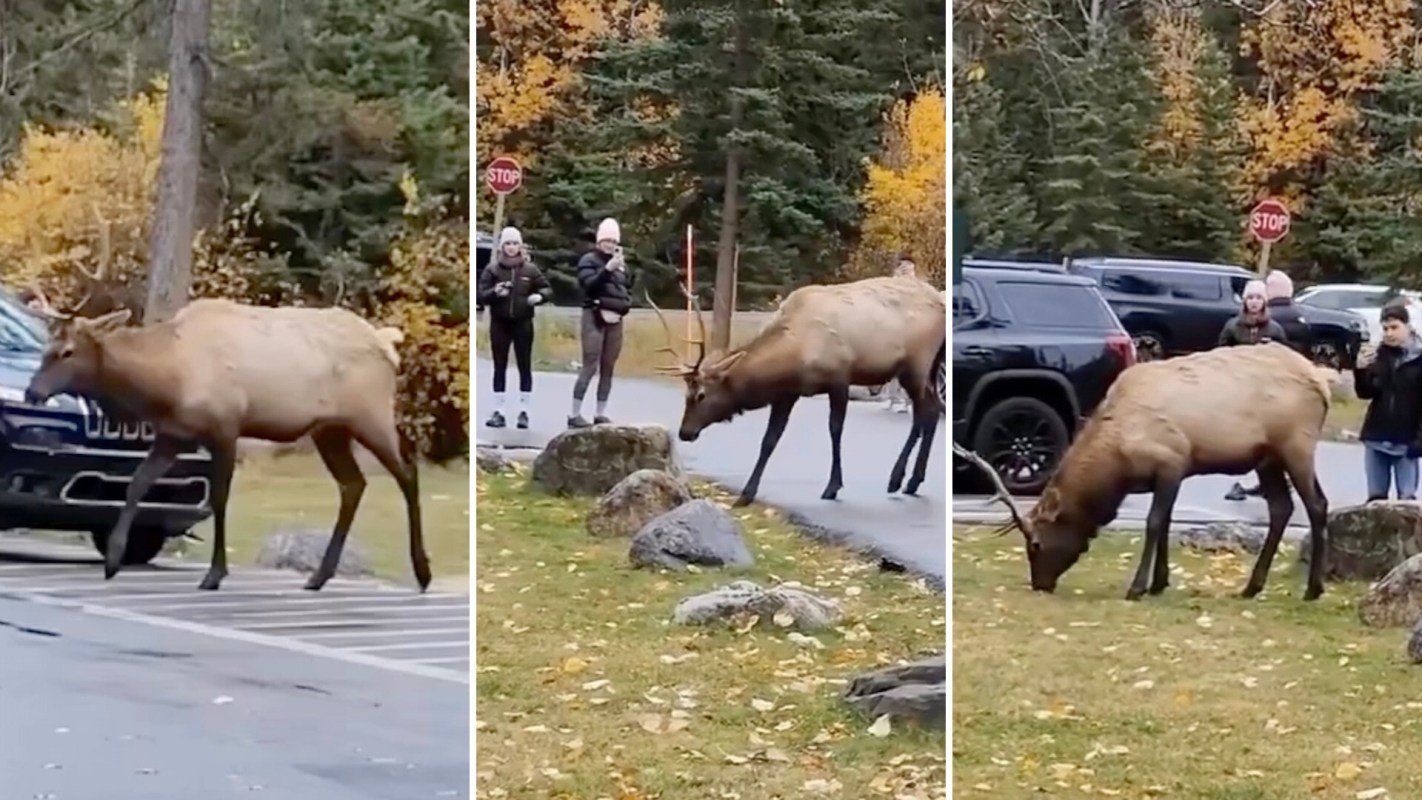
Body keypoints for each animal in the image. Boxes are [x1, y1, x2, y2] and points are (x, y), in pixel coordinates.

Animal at [23, 295, 426, 593]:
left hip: (371, 414)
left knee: (407, 474)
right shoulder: (174, 433)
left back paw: (422, 572)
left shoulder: (226, 428)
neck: (168, 380)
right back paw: (318, 576)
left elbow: (219, 498)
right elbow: (137, 483)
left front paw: (215, 574)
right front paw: (113, 560)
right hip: (330, 430)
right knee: (353, 484)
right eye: (45, 347)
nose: (32, 393)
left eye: (68, 351)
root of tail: (388, 345)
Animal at [651, 277, 944, 505]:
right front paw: (746, 494)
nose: (685, 432)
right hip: (923, 370)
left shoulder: (840, 377)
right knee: (930, 411)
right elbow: (770, 439)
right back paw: (911, 481)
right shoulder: (787, 392)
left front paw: (832, 486)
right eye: (686, 395)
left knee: (926, 412)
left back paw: (899, 479)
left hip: (917, 364)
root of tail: (940, 302)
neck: (795, 353)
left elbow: (835, 429)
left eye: (701, 395)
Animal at [955, 342, 1330, 602]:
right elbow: (1164, 524)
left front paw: (1137, 587)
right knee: (1281, 507)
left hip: (1296, 444)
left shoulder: (1171, 461)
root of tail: (1323, 384)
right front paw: (1159, 583)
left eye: (1035, 544)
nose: (1039, 584)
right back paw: (1252, 587)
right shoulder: (1171, 473)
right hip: (1267, 457)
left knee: (1317, 504)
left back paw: (1313, 589)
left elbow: (1153, 523)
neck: (1116, 465)